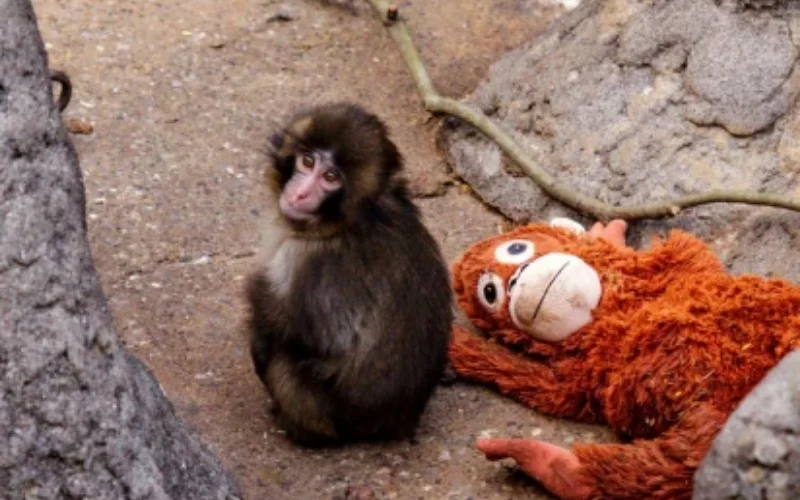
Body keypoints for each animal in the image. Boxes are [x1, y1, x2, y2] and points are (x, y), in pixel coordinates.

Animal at [245, 103, 454, 447]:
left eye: (330, 177)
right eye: (307, 161)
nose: (300, 194)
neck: (351, 221)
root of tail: (397, 422)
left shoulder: (307, 260)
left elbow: (314, 336)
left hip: (330, 417)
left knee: (283, 361)